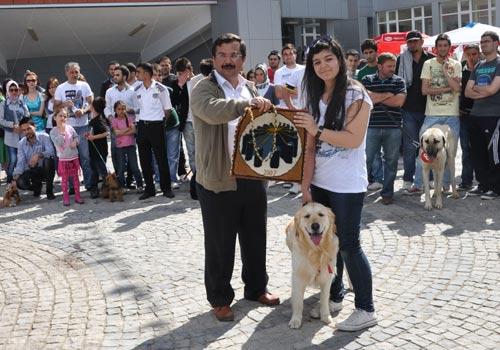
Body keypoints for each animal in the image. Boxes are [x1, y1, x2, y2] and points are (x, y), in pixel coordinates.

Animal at [288, 201, 338, 330]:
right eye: (307, 216)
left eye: (321, 214)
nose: (315, 226)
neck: (315, 250)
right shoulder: (298, 276)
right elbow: (298, 302)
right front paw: (295, 320)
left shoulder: (327, 277)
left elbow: (324, 299)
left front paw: (326, 316)